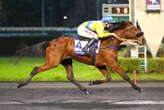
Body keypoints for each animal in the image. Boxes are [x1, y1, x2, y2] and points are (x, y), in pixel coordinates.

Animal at [17, 20, 145, 93]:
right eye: (135, 29)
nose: (143, 39)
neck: (109, 43)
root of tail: (51, 42)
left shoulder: (100, 64)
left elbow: (109, 78)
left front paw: (93, 82)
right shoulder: (112, 63)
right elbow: (125, 76)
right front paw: (137, 88)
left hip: (66, 60)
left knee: (70, 77)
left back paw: (84, 89)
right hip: (53, 62)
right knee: (35, 69)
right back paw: (21, 84)